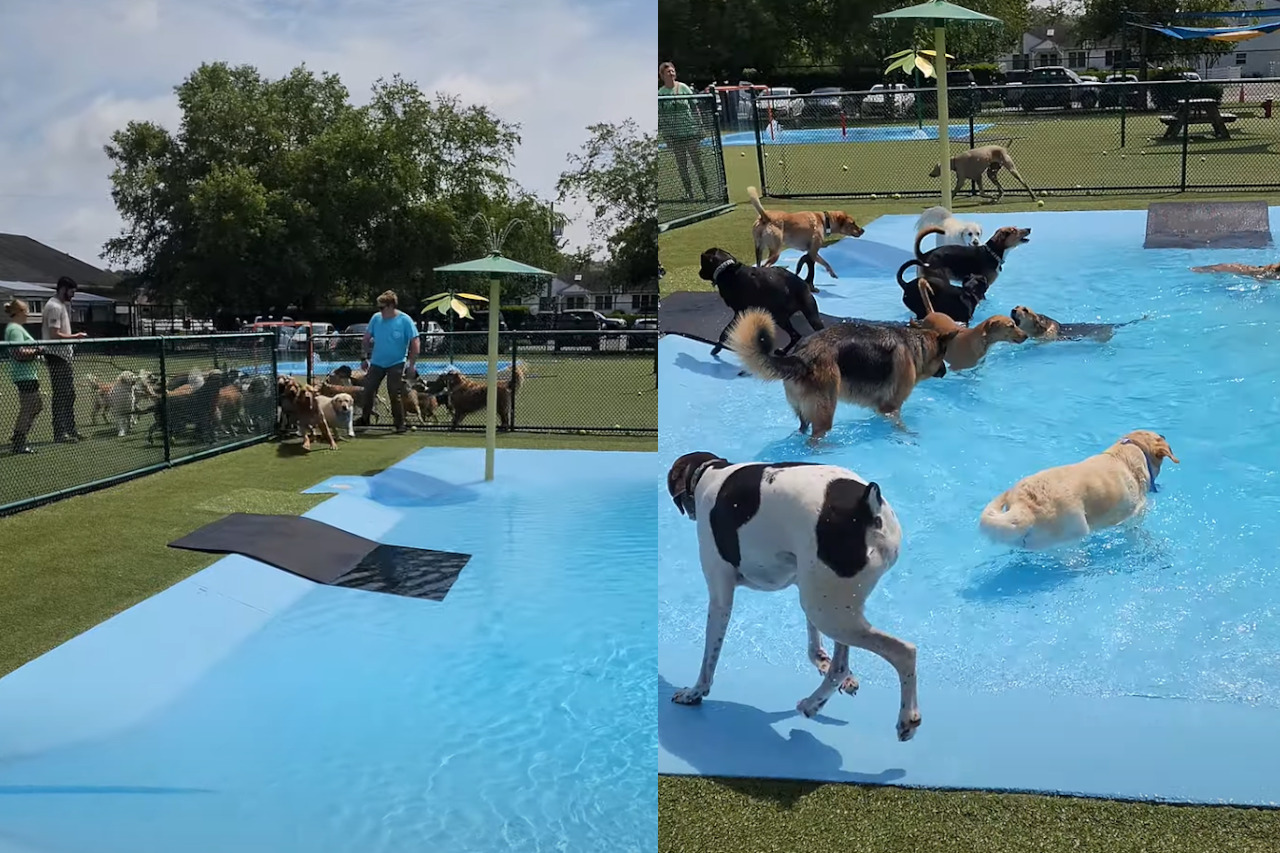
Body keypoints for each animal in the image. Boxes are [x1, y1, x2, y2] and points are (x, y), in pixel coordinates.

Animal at [670, 450, 921, 737]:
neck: (710, 473)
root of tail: (866, 505)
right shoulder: (803, 582)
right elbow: (816, 649)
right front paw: (825, 664)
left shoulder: (721, 598)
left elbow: (708, 660)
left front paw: (695, 692)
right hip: (830, 605)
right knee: (840, 666)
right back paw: (813, 704)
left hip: (829, 613)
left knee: (904, 652)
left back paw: (907, 718)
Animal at [696, 245, 824, 356]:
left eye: (702, 263)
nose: (699, 273)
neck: (726, 270)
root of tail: (805, 282)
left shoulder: (739, 312)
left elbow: (725, 332)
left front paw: (716, 348)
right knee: (796, 335)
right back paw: (783, 352)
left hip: (790, 317)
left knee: (798, 334)